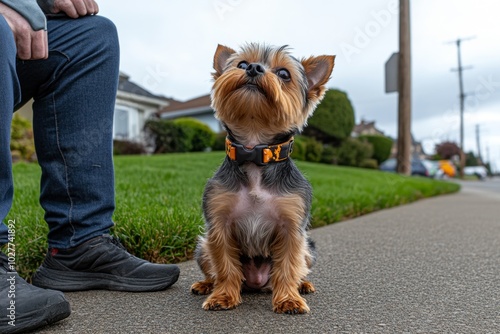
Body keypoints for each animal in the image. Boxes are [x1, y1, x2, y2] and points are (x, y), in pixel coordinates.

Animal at [192, 43, 336, 314]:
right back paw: (206, 285)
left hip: (308, 248)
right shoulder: (219, 224)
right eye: (241, 64)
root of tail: (257, 283)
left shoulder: (292, 227)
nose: (253, 68)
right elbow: (225, 265)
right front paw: (223, 295)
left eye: (284, 74)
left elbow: (288, 266)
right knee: (213, 268)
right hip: (203, 245)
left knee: (300, 267)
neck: (254, 150)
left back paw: (303, 285)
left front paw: (289, 299)